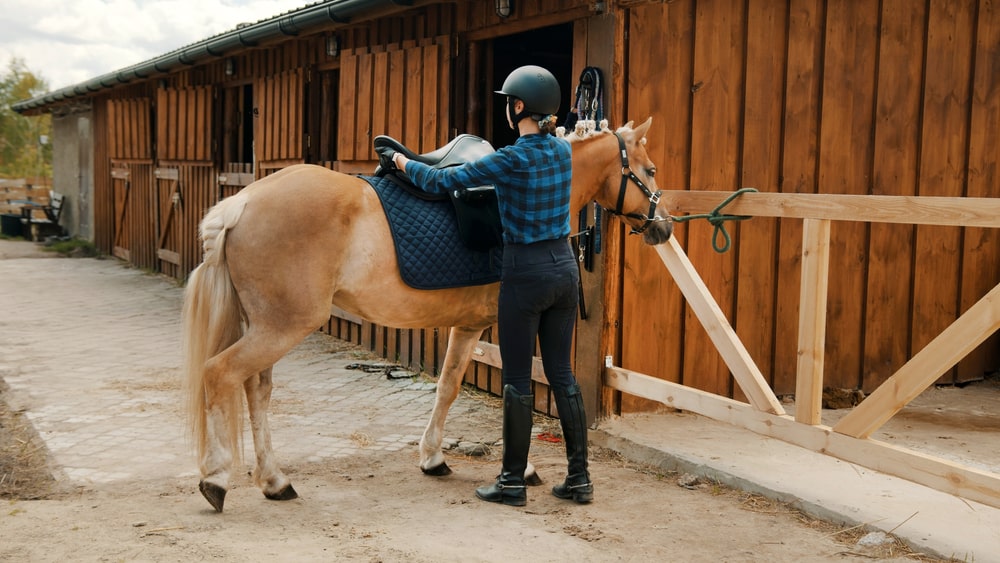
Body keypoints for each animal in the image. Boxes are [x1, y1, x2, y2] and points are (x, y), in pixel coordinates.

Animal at [184, 117, 676, 512]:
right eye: (650, 170)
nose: (665, 226)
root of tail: (241, 204)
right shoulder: (512, 323)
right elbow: (516, 389)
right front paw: (521, 470)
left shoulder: (469, 324)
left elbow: (448, 384)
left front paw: (433, 457)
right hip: (281, 328)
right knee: (219, 374)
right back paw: (216, 479)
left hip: (266, 328)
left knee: (256, 390)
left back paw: (274, 481)